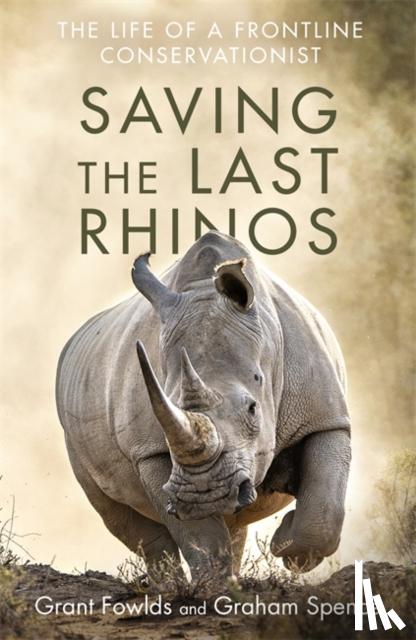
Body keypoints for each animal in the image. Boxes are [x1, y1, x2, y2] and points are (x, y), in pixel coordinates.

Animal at [56, 231, 351, 581]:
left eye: (253, 409)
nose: (205, 495)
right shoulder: (150, 450)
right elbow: (200, 535)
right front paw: (215, 586)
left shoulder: (326, 416)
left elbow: (324, 509)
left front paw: (285, 547)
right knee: (122, 518)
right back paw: (169, 586)